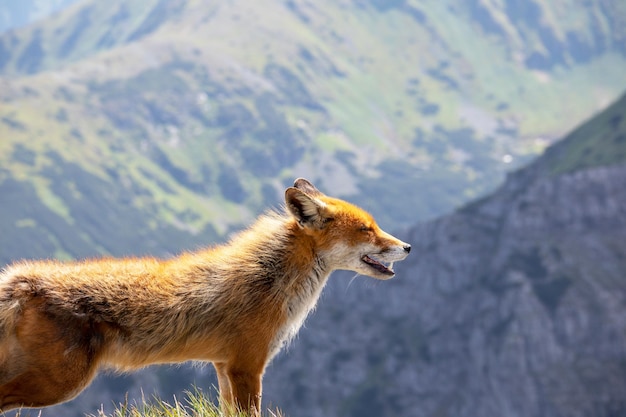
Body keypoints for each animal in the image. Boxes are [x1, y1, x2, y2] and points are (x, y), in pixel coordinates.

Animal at [0, 177, 410, 414]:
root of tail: (21, 279)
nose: (408, 247)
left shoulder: (224, 366)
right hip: (60, 382)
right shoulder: (247, 365)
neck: (271, 280)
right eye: (366, 229)